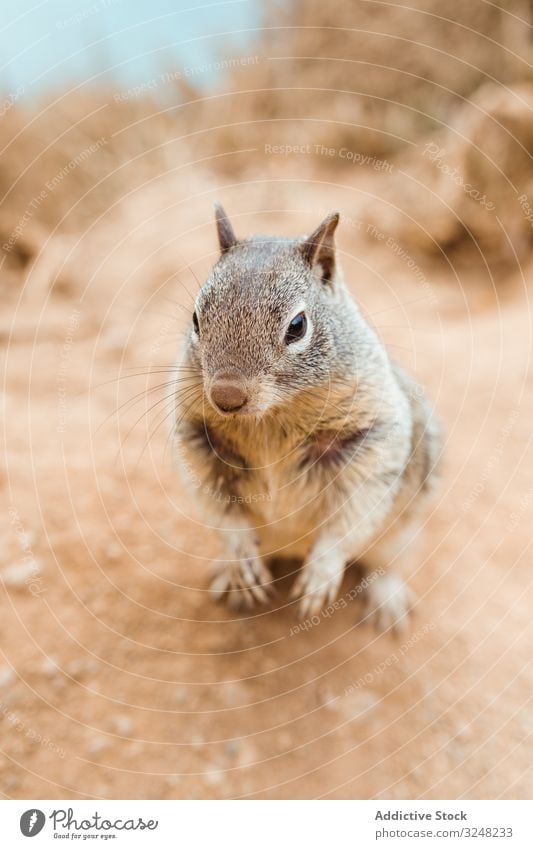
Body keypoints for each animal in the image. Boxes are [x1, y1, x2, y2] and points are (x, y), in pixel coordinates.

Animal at [171, 205, 440, 628]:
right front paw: (239, 553)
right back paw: (231, 576)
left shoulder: (372, 434)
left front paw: (321, 573)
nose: (226, 397)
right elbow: (216, 504)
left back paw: (387, 600)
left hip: (403, 531)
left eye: (297, 327)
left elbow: (353, 511)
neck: (269, 417)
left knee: (387, 562)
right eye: (196, 320)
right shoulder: (196, 437)